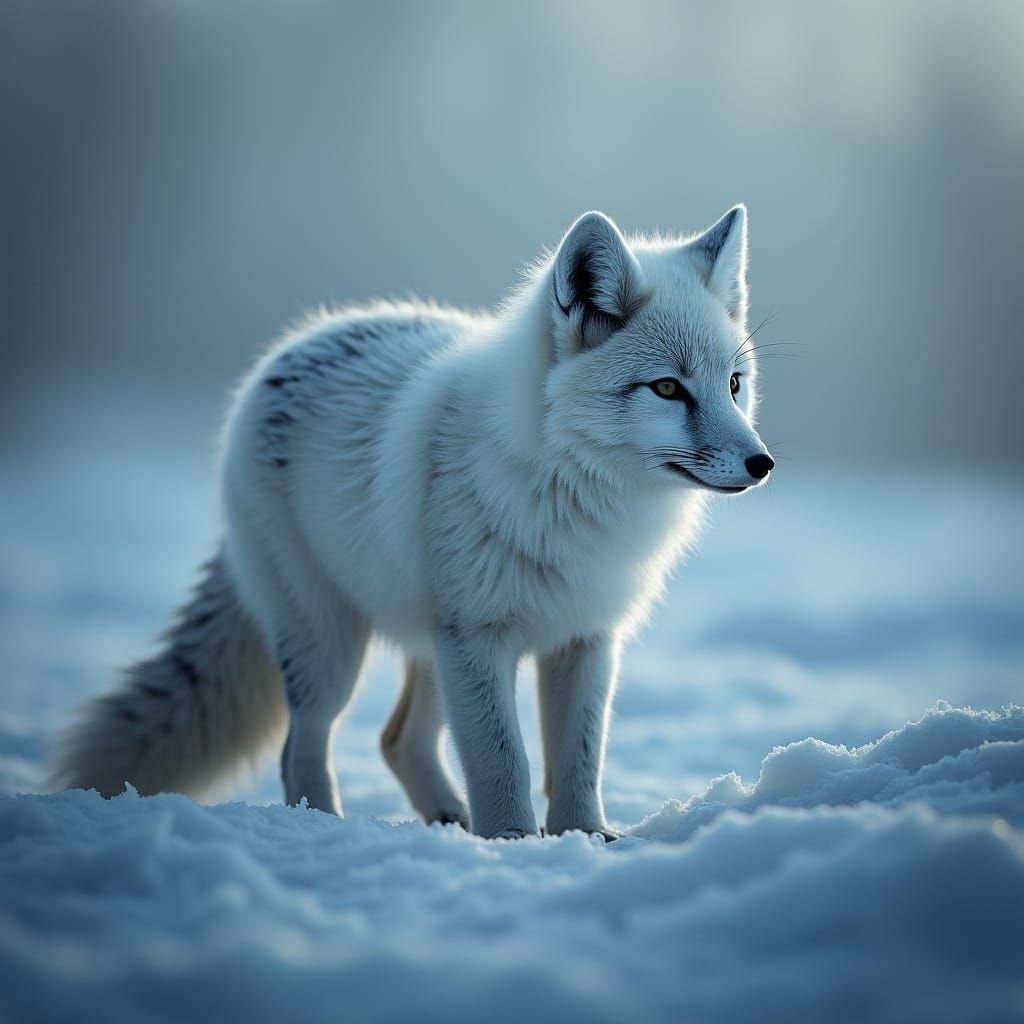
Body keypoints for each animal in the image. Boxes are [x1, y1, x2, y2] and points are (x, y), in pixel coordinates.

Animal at [52, 206, 773, 839]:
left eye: (734, 384)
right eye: (667, 388)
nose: (762, 463)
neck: (571, 492)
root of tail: (288, 351)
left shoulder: (584, 637)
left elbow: (579, 760)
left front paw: (582, 840)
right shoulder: (480, 637)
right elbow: (504, 762)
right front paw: (512, 843)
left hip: (430, 650)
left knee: (397, 740)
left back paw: (447, 819)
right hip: (334, 649)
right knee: (302, 748)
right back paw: (326, 826)